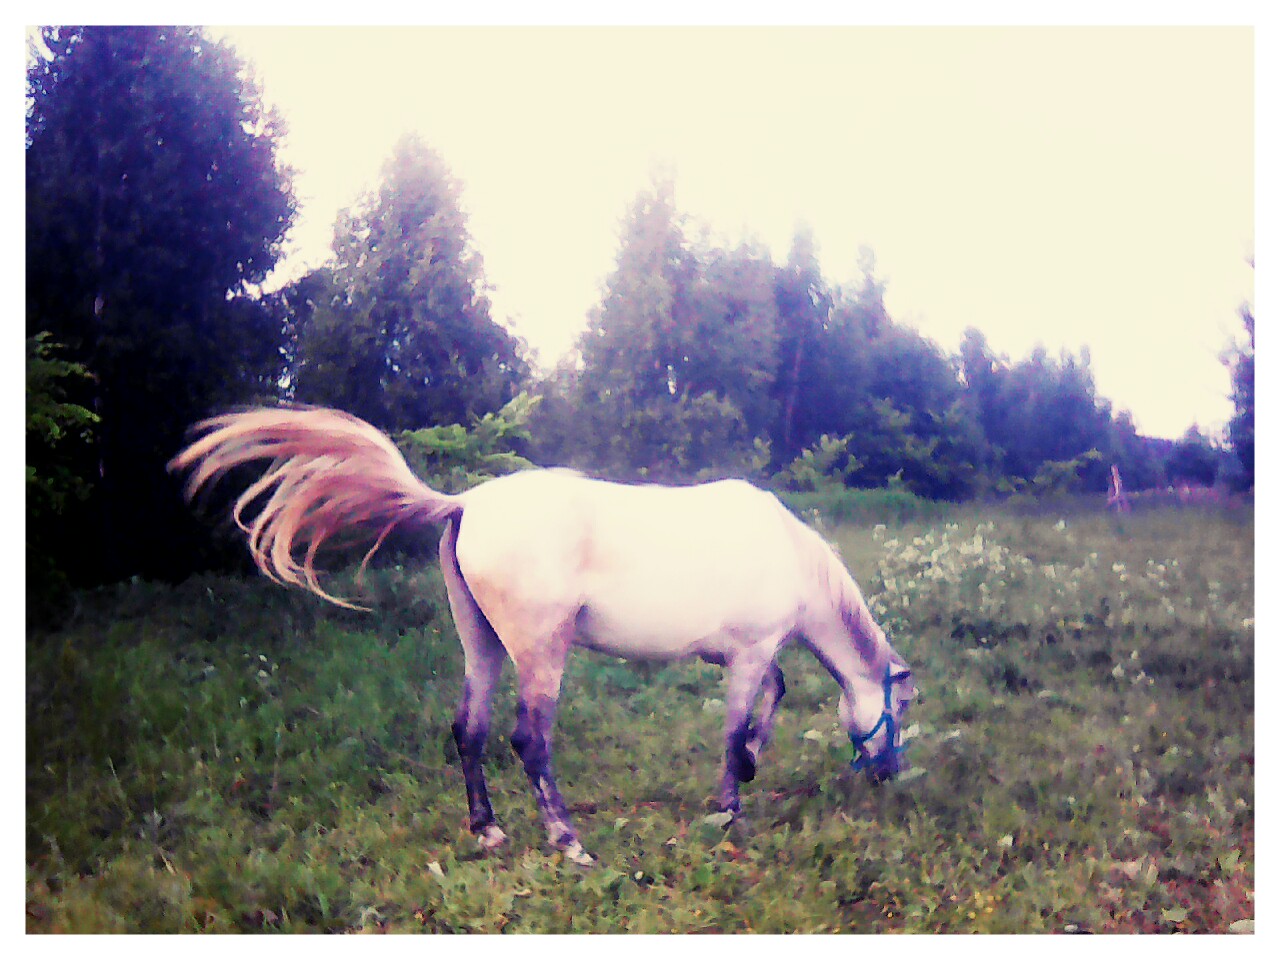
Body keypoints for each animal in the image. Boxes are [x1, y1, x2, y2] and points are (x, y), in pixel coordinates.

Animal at [168, 405, 917, 866]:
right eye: (904, 708)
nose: (888, 775)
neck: (788, 552)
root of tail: (465, 503)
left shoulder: (740, 655)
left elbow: (777, 692)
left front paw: (755, 763)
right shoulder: (750, 653)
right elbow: (739, 726)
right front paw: (730, 807)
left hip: (482, 646)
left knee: (468, 729)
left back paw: (488, 830)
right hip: (541, 653)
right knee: (529, 740)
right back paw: (569, 842)